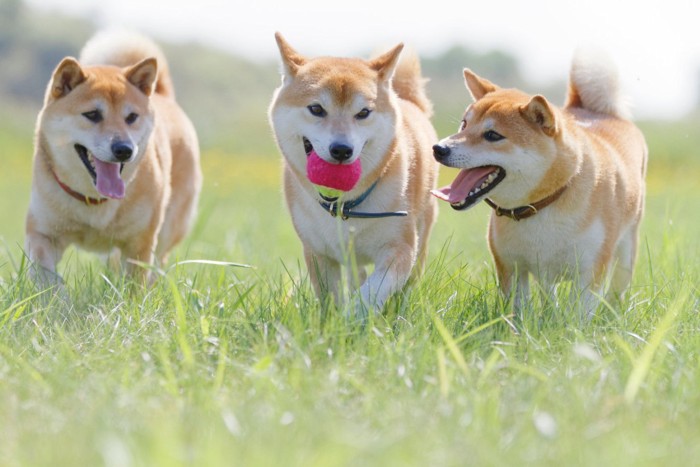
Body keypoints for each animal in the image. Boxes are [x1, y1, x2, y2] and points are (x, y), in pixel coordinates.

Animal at [24, 32, 200, 286]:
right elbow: (46, 276)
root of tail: (162, 95)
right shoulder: (43, 232)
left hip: (168, 228)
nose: (124, 149)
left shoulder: (140, 243)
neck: (93, 201)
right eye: (92, 114)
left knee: (157, 264)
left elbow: (135, 285)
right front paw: (56, 295)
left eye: (132, 117)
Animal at [268, 32, 438, 310]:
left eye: (363, 112)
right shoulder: (318, 253)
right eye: (316, 109)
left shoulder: (400, 248)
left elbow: (371, 292)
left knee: (407, 284)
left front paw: (355, 314)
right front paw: (336, 318)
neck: (345, 206)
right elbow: (331, 298)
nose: (341, 149)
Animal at [434, 50, 648, 318]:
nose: (439, 148)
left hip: (627, 247)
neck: (541, 205)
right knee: (549, 293)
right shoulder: (511, 268)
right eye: (464, 124)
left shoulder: (589, 271)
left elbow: (579, 315)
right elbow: (518, 311)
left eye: (493, 135)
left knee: (618, 288)